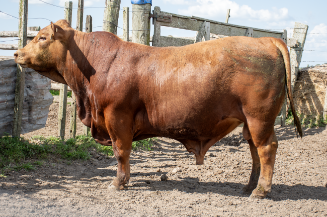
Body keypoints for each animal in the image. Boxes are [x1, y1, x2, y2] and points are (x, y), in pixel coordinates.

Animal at [14, 20, 302, 198]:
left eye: (42, 37)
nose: (16, 54)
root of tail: (266, 41)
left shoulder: (117, 116)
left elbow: (121, 152)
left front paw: (118, 182)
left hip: (259, 118)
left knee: (266, 149)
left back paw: (261, 190)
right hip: (251, 122)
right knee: (255, 150)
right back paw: (248, 186)